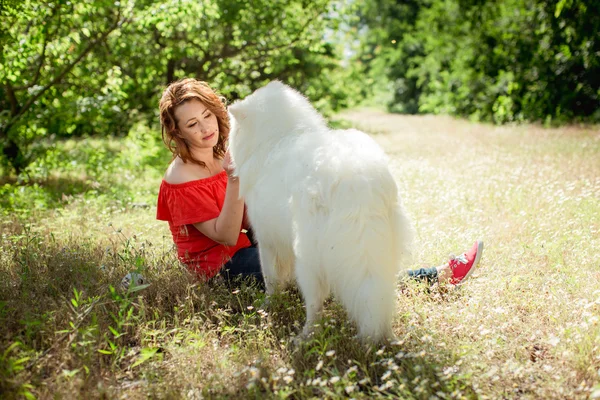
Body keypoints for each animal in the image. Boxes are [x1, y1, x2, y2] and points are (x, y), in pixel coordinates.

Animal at [229, 82, 412, 344]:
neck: (278, 138)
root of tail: (356, 180)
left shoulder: (267, 242)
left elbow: (271, 280)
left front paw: (267, 307)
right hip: (384, 251)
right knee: (379, 290)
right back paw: (387, 335)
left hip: (307, 256)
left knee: (315, 303)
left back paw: (304, 337)